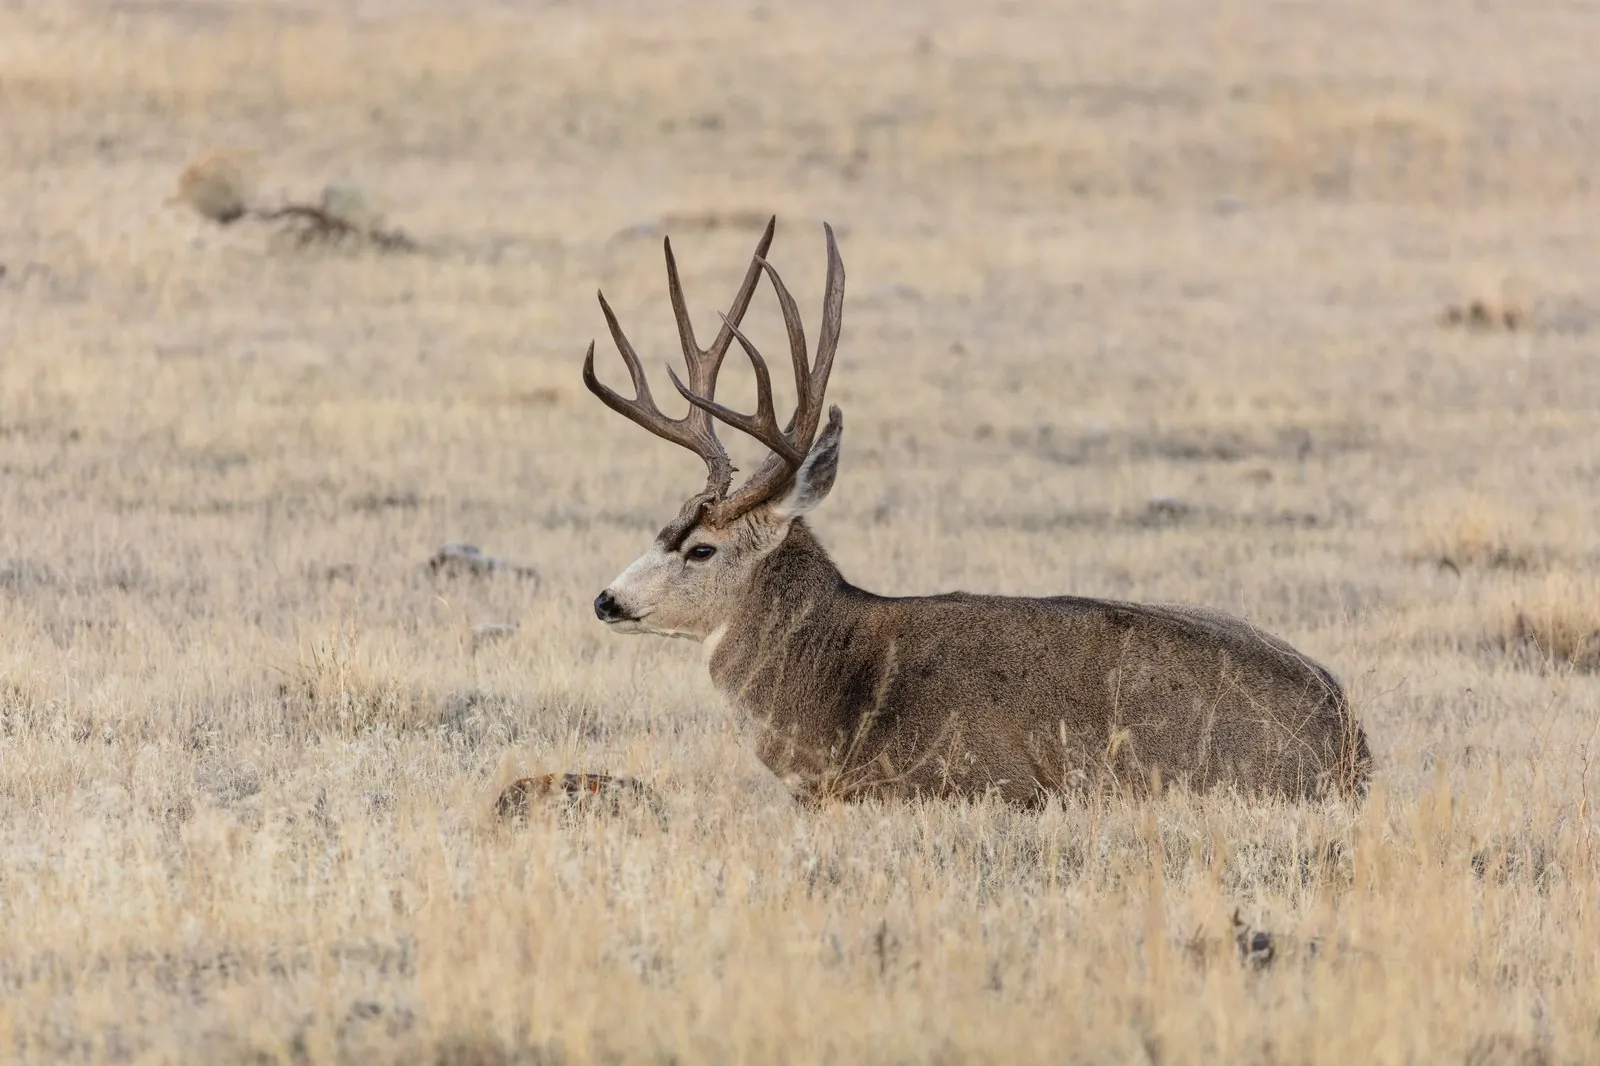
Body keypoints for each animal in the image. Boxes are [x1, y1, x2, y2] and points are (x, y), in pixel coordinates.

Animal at [580, 216, 1373, 807]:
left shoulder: (973, 780)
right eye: (663, 527)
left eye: (701, 548)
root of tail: (1350, 743)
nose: (606, 600)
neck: (839, 693)